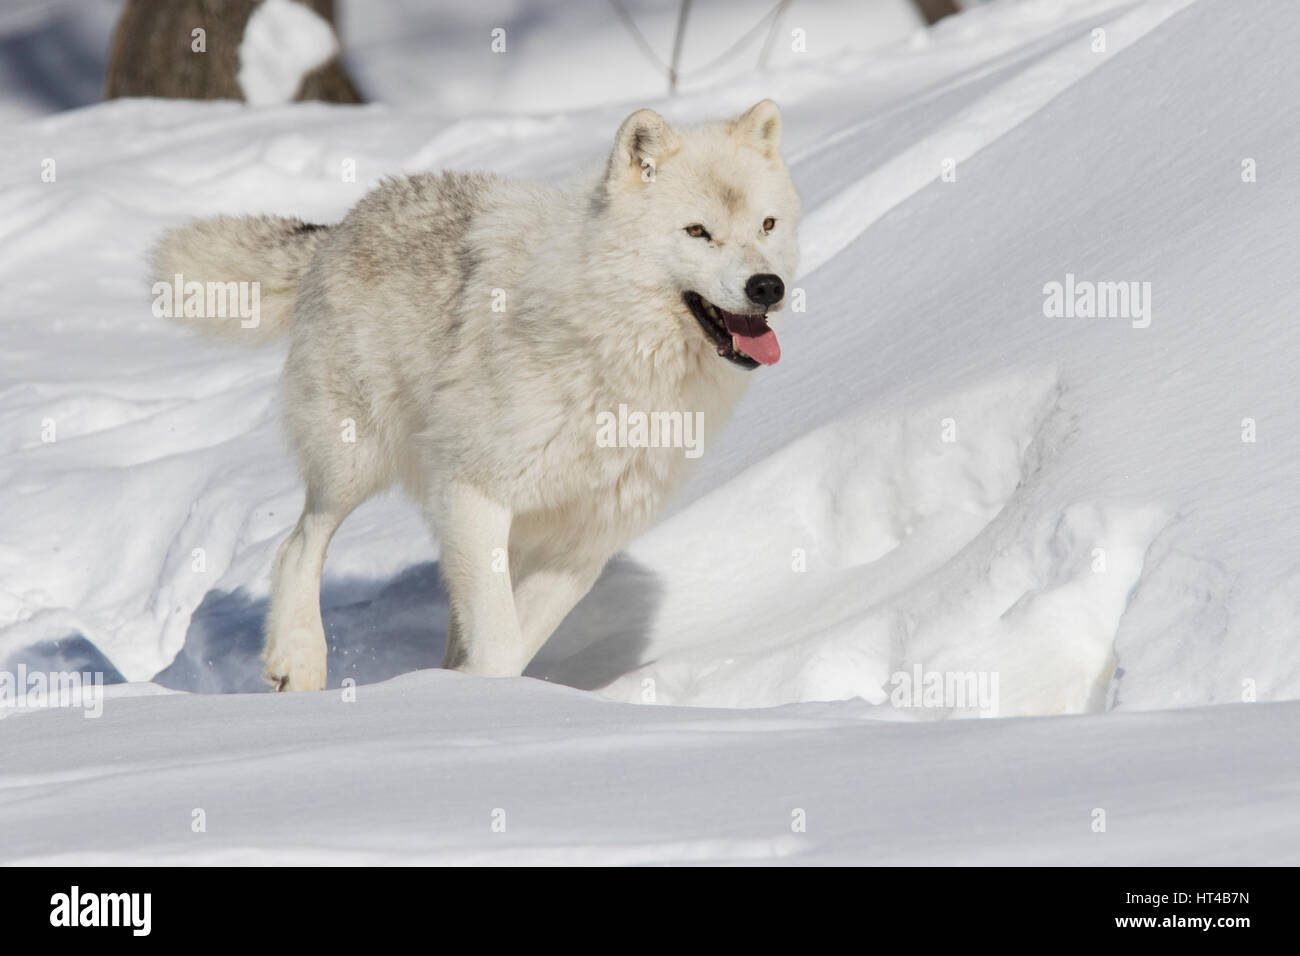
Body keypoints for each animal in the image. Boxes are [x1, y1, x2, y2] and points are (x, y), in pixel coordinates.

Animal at [154, 100, 800, 691]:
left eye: (767, 226)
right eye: (698, 232)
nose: (767, 286)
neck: (616, 358)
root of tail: (340, 226)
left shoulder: (580, 545)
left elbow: (512, 644)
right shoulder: (474, 495)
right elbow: (501, 647)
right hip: (354, 463)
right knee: (297, 545)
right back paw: (299, 662)